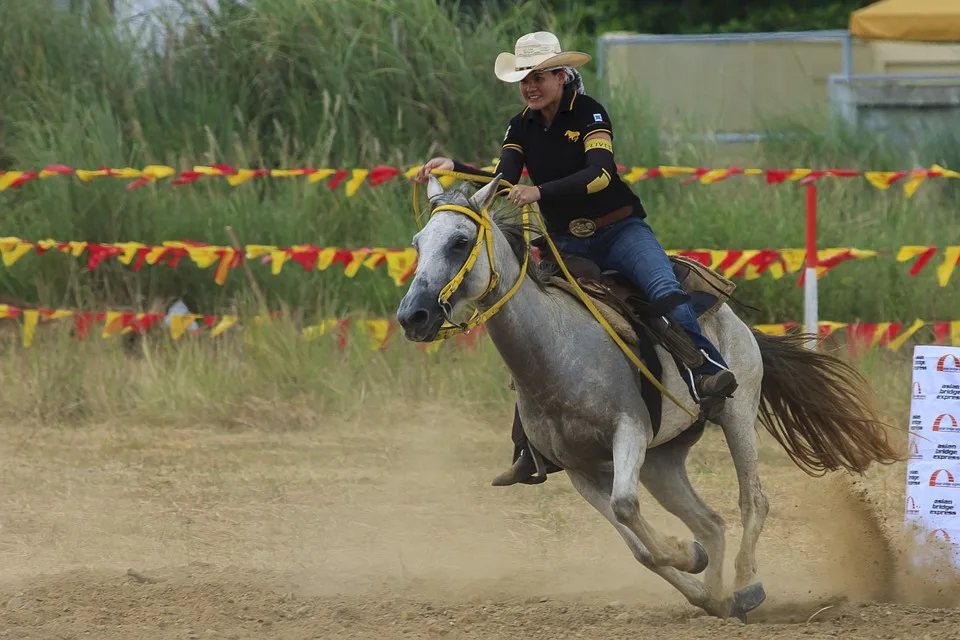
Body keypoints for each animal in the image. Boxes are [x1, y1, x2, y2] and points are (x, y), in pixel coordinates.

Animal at [398, 174, 908, 620]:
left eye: (459, 241)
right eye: (418, 242)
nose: (412, 316)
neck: (555, 348)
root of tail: (738, 322)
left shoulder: (629, 431)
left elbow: (627, 507)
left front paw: (689, 558)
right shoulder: (580, 468)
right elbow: (639, 546)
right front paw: (694, 569)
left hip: (737, 415)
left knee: (753, 501)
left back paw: (746, 586)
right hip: (664, 459)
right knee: (711, 522)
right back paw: (719, 597)